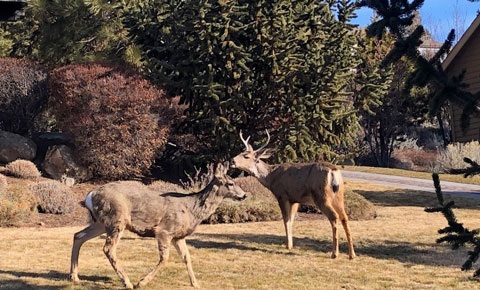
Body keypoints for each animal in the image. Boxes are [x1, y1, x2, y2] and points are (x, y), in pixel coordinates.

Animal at [70, 163, 248, 288]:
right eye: (230, 183)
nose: (244, 195)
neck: (191, 209)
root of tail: (90, 195)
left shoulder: (178, 236)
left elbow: (187, 257)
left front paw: (196, 284)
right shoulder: (165, 230)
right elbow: (165, 258)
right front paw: (141, 282)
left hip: (100, 223)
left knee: (78, 236)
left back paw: (74, 277)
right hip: (116, 218)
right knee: (108, 249)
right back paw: (127, 282)